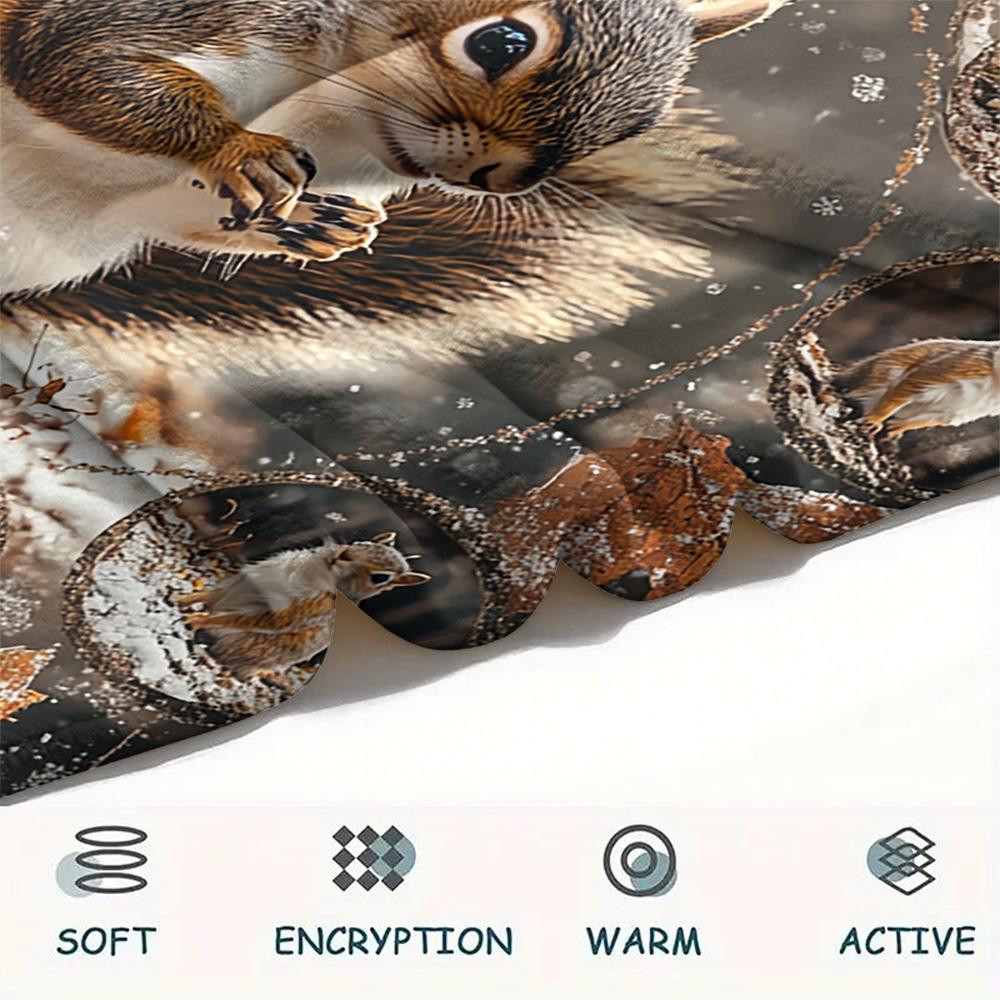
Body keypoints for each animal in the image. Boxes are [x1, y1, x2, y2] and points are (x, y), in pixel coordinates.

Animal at [1, 0, 786, 295]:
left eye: (634, 126)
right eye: (501, 42)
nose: (498, 180)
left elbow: (168, 212)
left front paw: (312, 221)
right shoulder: (172, 17)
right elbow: (88, 64)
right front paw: (241, 148)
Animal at [835, 338, 1000, 441]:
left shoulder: (965, 412)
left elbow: (936, 419)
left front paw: (896, 427)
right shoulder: (966, 366)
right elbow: (912, 382)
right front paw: (875, 419)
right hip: (879, 376)